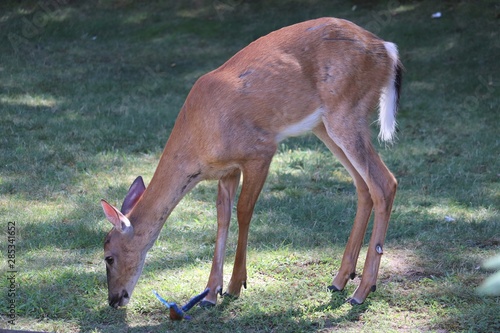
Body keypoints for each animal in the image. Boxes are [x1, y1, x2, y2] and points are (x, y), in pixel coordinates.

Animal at [100, 16, 402, 308]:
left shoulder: (260, 150)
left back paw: (363, 290)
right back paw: (340, 279)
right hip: (324, 126)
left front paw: (235, 286)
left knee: (385, 182)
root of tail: (387, 49)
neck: (198, 142)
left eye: (108, 256)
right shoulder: (227, 170)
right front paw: (210, 293)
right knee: (363, 185)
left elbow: (244, 211)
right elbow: (222, 217)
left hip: (346, 112)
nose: (114, 300)